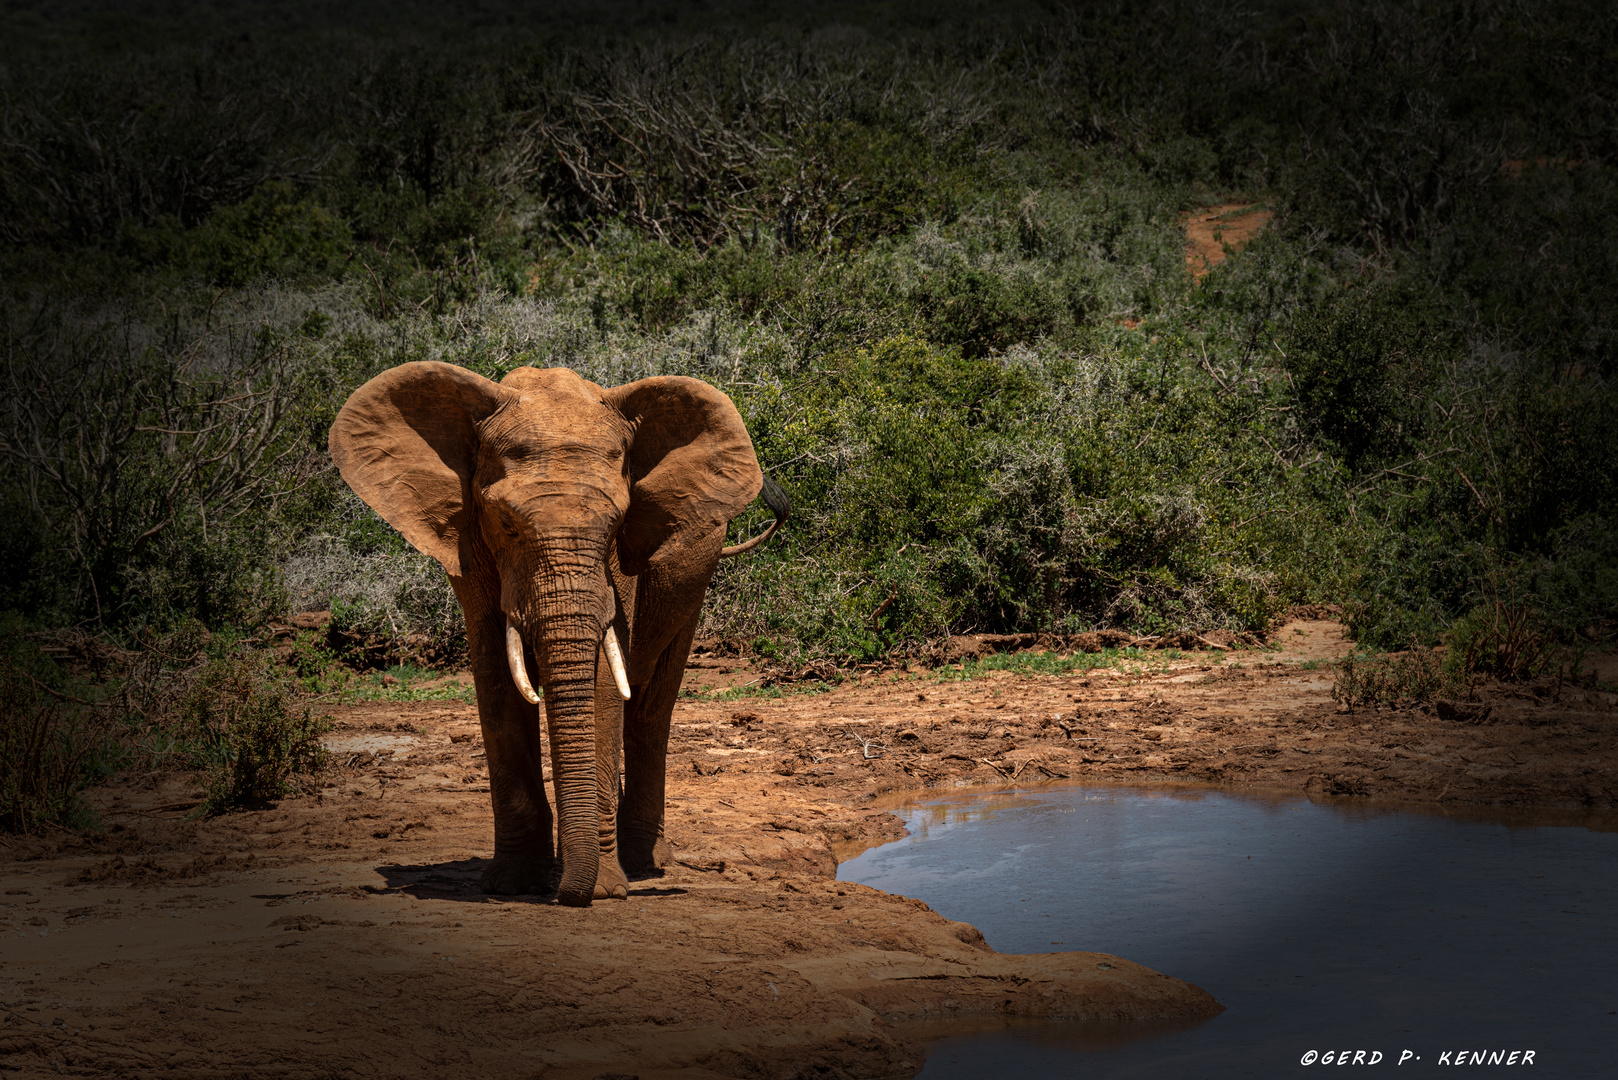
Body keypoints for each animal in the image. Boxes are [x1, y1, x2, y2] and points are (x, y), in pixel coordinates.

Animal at [328, 362, 783, 906]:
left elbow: (605, 684)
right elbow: (496, 678)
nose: (568, 894)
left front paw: (603, 890)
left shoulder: (618, 567)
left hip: (697, 562)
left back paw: (644, 863)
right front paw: (511, 885)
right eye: (505, 522)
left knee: (651, 708)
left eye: (617, 524)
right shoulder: (469, 545)